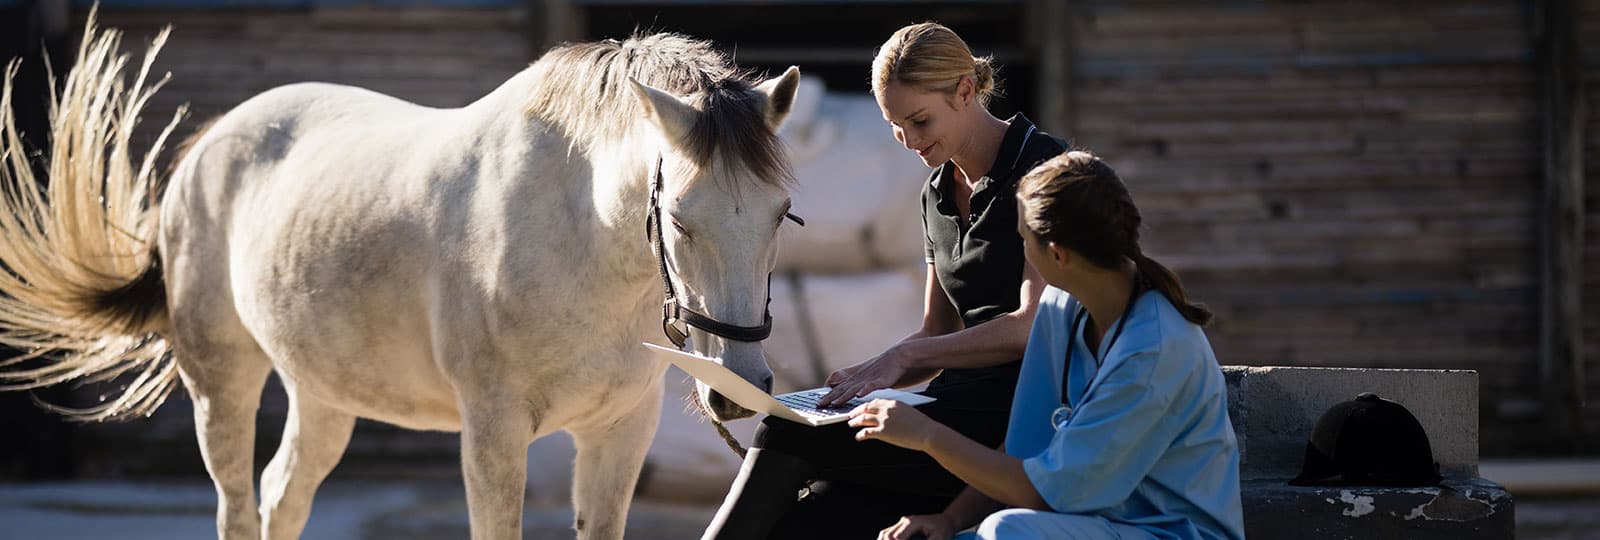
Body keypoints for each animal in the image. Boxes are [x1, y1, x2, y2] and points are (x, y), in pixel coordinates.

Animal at [0, 13, 798, 540]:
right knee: (237, 503)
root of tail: (207, 145)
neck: (577, 236)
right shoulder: (492, 434)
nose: (740, 391)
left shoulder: (620, 430)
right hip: (220, 384)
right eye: (681, 221)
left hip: (322, 393)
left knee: (282, 496)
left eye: (780, 214)